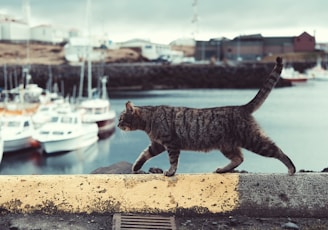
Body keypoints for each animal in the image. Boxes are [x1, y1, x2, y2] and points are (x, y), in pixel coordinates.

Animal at [118, 57, 298, 176]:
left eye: (120, 118)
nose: (118, 125)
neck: (149, 119)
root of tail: (241, 107)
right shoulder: (157, 145)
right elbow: (143, 155)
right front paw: (136, 167)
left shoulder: (171, 143)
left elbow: (173, 160)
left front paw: (170, 171)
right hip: (228, 146)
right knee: (239, 159)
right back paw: (223, 169)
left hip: (253, 140)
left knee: (276, 150)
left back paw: (291, 168)